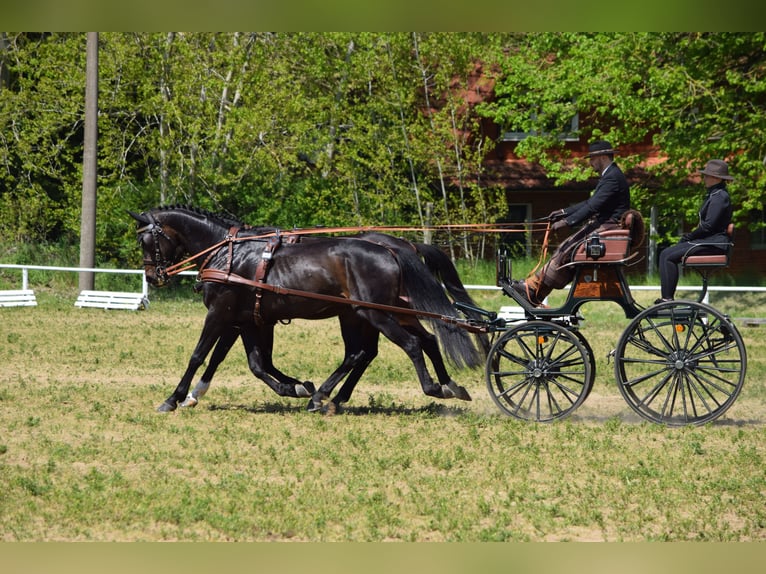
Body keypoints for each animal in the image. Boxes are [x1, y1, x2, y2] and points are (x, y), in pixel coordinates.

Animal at [129, 207, 484, 414]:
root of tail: (392, 250)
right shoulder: (251, 320)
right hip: (375, 313)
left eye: (146, 241)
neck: (229, 254)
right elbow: (257, 363)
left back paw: (430, 387)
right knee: (414, 342)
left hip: (374, 314)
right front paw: (296, 386)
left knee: (402, 346)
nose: (152, 276)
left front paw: (175, 398)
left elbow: (201, 355)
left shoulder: (221, 313)